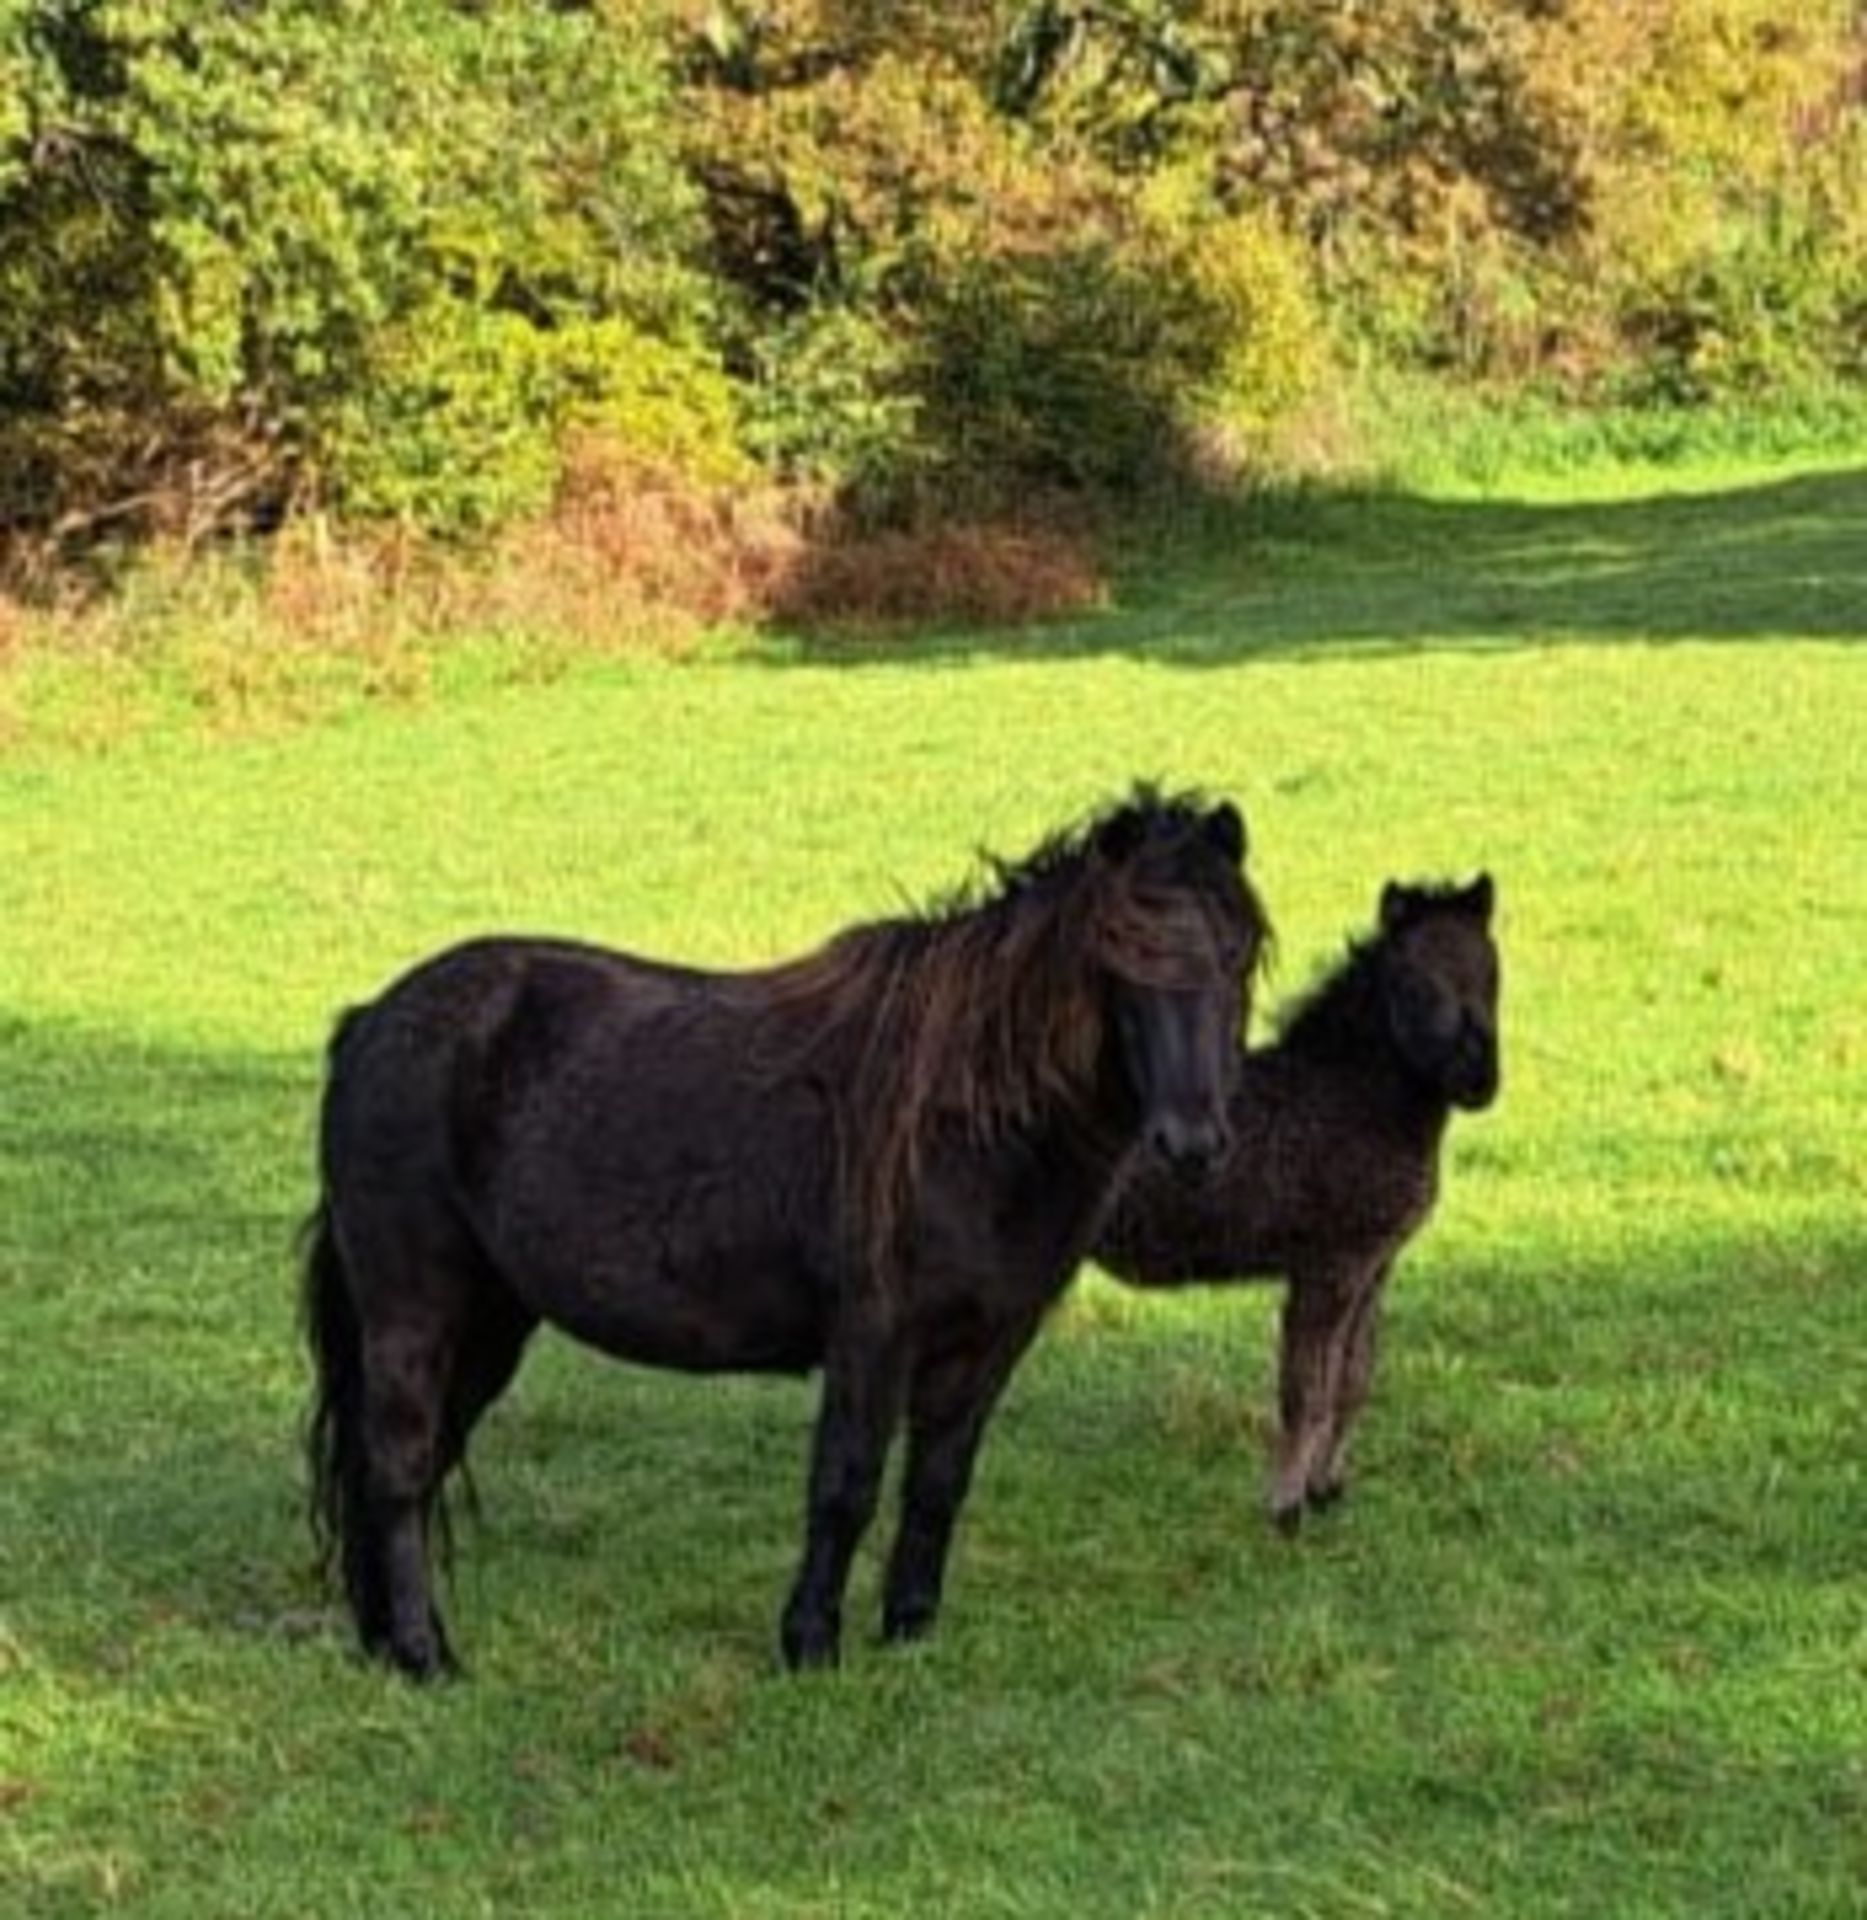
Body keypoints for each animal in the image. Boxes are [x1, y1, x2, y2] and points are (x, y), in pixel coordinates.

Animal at [303, 787, 1267, 1674]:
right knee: (398, 1465)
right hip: (414, 1310)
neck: (963, 1120)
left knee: (414, 1461)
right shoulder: (872, 1334)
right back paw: (427, 1657)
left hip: (492, 1321)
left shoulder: (988, 1342)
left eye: (1237, 954)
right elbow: (845, 1483)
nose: (1192, 1143)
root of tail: (370, 1022)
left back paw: (384, 1641)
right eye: (1120, 960)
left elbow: (938, 1484)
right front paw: (809, 1646)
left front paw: (908, 1635)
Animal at [1098, 879, 1498, 1528]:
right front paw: (1286, 1506)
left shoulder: (1374, 1265)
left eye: (1491, 972)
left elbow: (1352, 1379)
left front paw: (1326, 1487)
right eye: (1415, 984)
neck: (1348, 1095)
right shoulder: (1326, 1266)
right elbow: (1304, 1389)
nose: (1481, 1082)